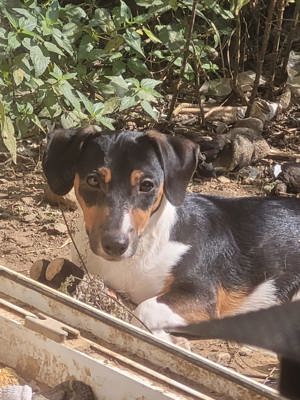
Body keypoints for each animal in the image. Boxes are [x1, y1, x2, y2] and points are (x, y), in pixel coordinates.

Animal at [42, 129, 300, 344]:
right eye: (93, 180)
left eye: (147, 185)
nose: (115, 245)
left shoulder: (202, 295)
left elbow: (142, 310)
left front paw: (169, 340)